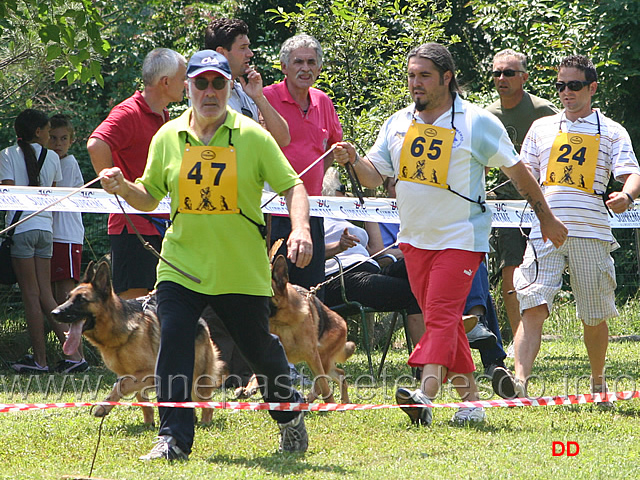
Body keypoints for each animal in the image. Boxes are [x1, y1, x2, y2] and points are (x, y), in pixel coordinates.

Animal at [51, 260, 224, 426]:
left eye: (81, 300)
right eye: (68, 298)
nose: (54, 313)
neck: (120, 333)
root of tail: (200, 321)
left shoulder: (148, 373)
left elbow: (120, 386)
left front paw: (103, 406)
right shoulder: (132, 375)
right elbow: (142, 400)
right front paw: (148, 424)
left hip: (198, 379)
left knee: (207, 403)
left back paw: (205, 422)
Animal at [235, 253, 356, 404]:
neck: (282, 323)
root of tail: (343, 323)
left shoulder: (313, 357)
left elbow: (324, 386)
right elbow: (258, 374)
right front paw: (249, 388)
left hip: (323, 359)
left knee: (323, 382)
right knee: (340, 374)